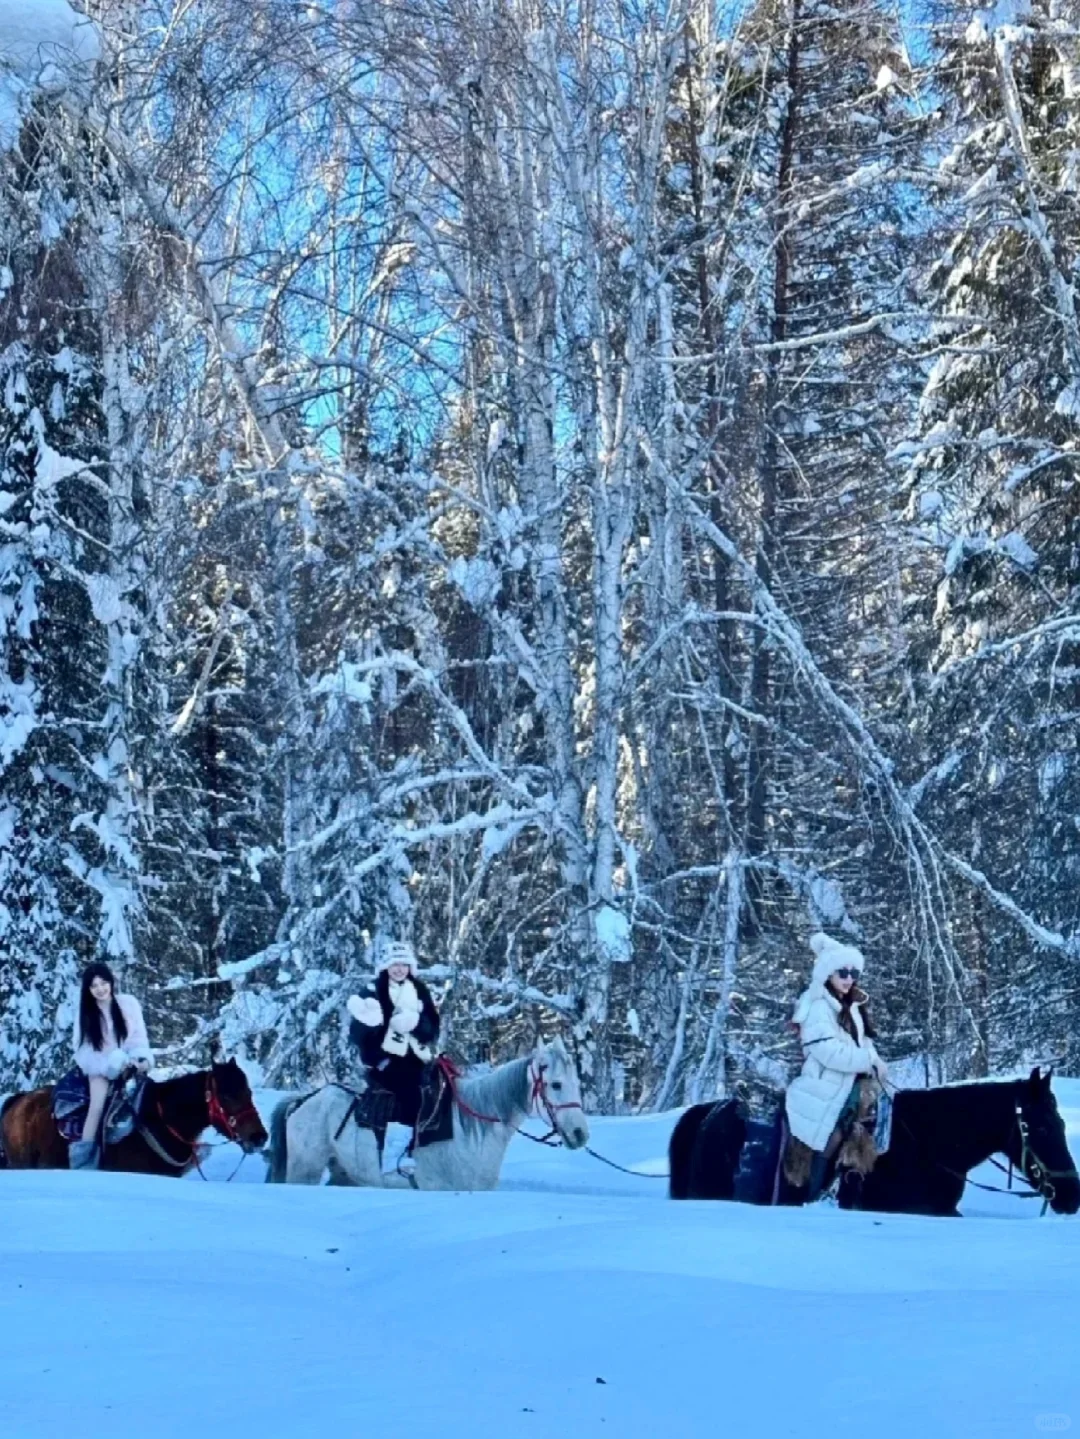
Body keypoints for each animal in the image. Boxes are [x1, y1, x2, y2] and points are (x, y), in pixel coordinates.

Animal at [267, 1036, 595, 1191]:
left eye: (577, 1084)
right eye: (555, 1084)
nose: (580, 1134)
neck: (470, 1130)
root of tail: (303, 1101)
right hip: (304, 1171)